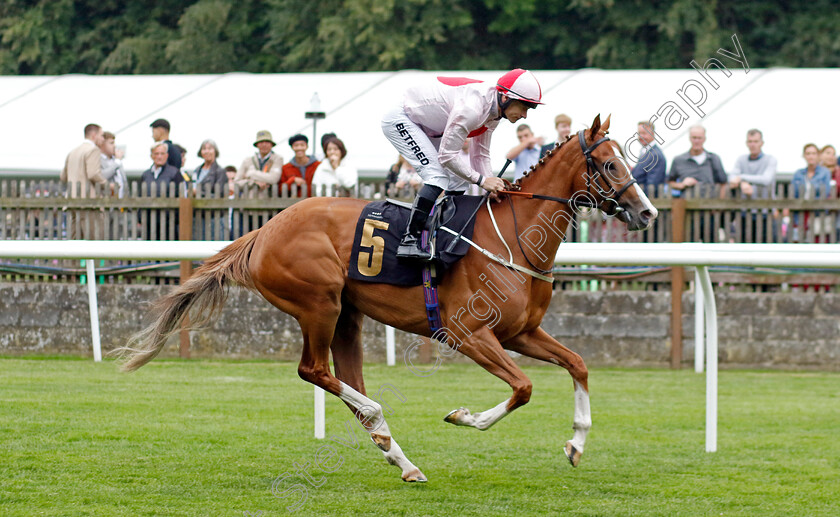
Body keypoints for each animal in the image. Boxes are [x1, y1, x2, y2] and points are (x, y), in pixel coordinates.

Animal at [118, 115, 656, 482]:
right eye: (610, 163)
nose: (647, 212)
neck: (514, 237)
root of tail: (263, 230)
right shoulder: (465, 332)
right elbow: (523, 387)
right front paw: (464, 416)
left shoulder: (521, 332)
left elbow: (578, 364)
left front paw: (576, 443)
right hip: (320, 303)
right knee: (315, 371)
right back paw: (382, 420)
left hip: (347, 316)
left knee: (342, 379)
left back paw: (402, 459)